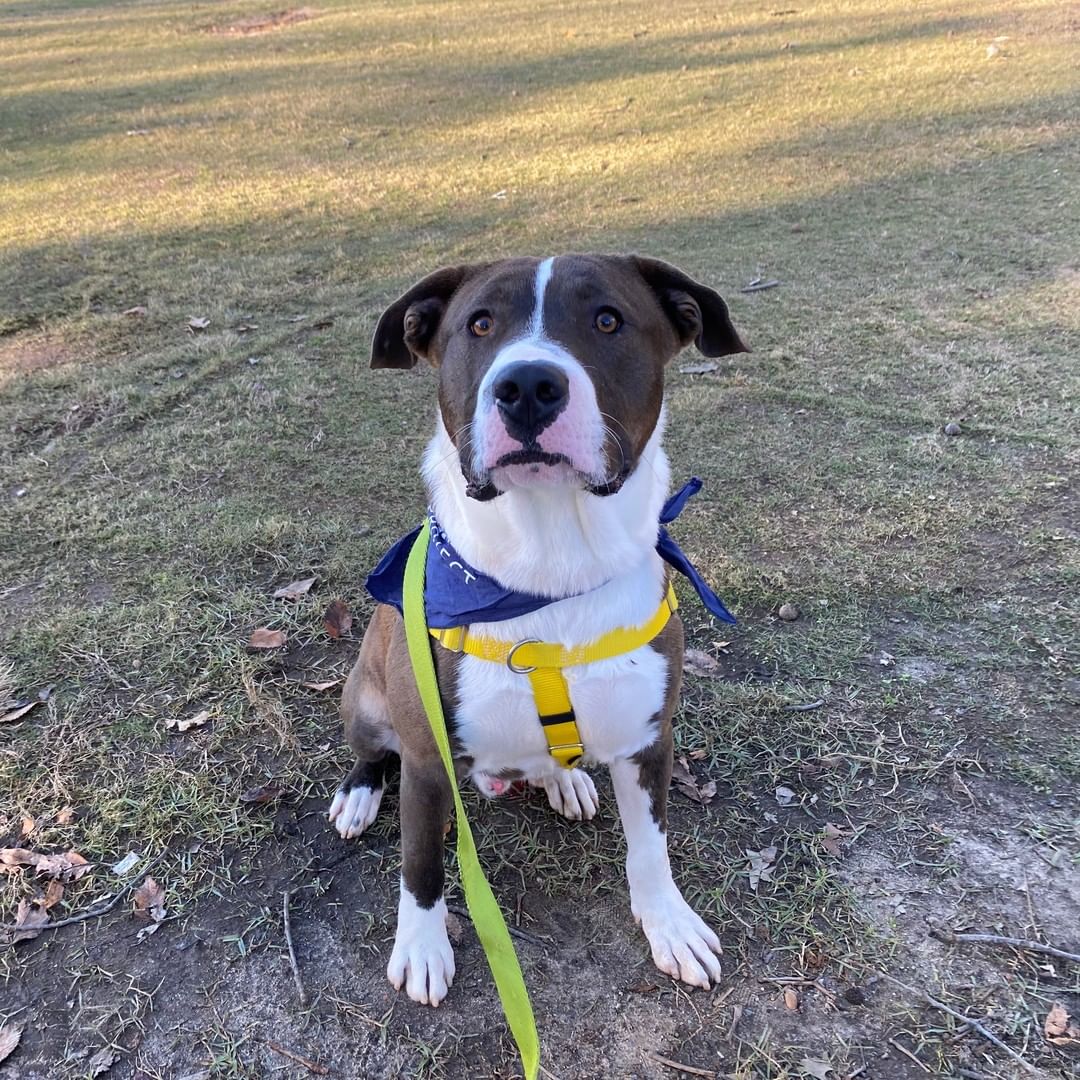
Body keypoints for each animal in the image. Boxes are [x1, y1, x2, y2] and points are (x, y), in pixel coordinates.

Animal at [332, 250, 747, 1002]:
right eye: (479, 323)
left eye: (608, 319)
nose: (527, 386)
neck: (551, 564)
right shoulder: (428, 759)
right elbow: (421, 864)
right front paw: (423, 946)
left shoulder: (649, 739)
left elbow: (651, 847)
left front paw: (668, 924)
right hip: (366, 702)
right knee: (374, 753)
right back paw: (358, 793)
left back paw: (565, 780)